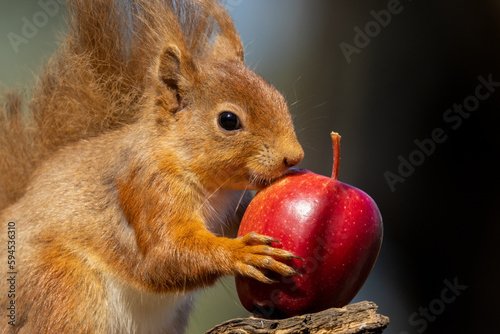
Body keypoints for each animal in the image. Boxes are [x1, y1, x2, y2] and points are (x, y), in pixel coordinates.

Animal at [0, 1, 304, 332]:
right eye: (228, 120)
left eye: (279, 98)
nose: (294, 157)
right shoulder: (149, 186)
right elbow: (164, 257)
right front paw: (243, 253)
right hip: (63, 289)